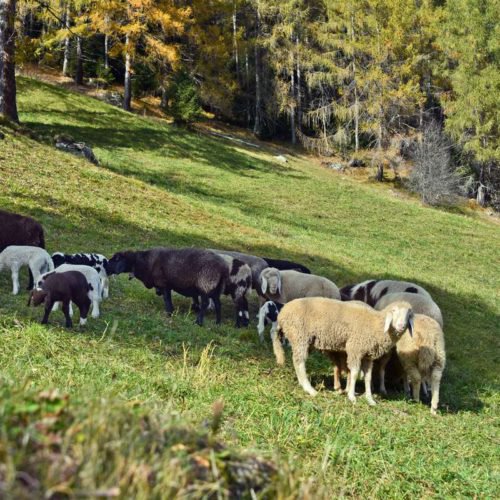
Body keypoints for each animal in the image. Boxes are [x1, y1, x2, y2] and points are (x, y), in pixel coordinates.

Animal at [274, 296, 414, 406]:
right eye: (394, 311)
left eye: (409, 314)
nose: (401, 326)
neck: (375, 324)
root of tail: (282, 313)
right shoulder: (355, 349)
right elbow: (354, 372)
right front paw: (351, 396)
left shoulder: (367, 356)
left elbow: (368, 377)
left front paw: (370, 399)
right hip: (299, 336)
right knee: (299, 363)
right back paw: (310, 389)